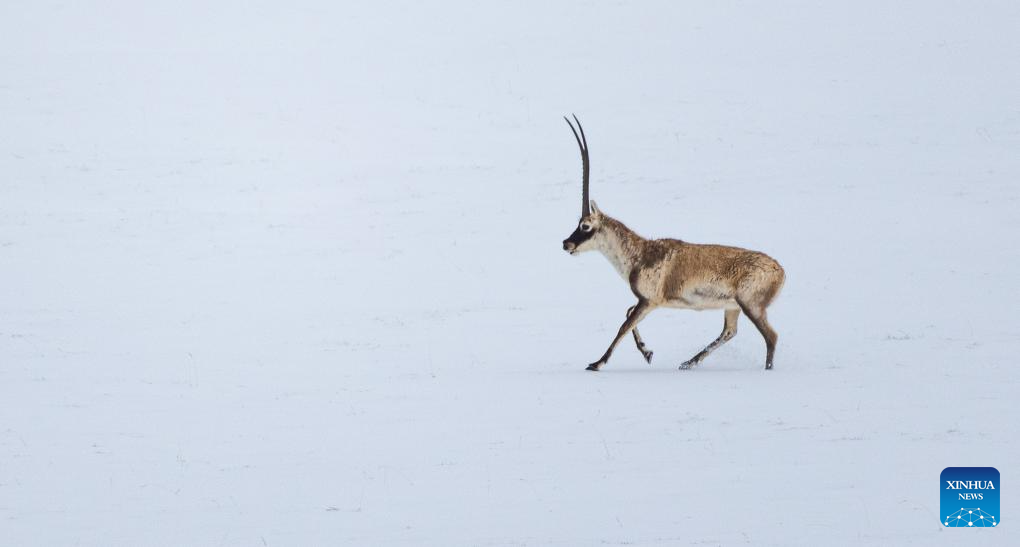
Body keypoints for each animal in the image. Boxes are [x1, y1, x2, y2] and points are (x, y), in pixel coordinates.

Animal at [558, 115, 787, 371]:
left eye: (585, 226)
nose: (566, 243)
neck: (640, 252)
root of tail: (780, 271)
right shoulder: (645, 302)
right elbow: (627, 313)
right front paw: (647, 352)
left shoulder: (649, 301)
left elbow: (624, 325)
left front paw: (597, 363)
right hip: (733, 307)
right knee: (730, 332)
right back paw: (687, 363)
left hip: (751, 306)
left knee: (771, 336)